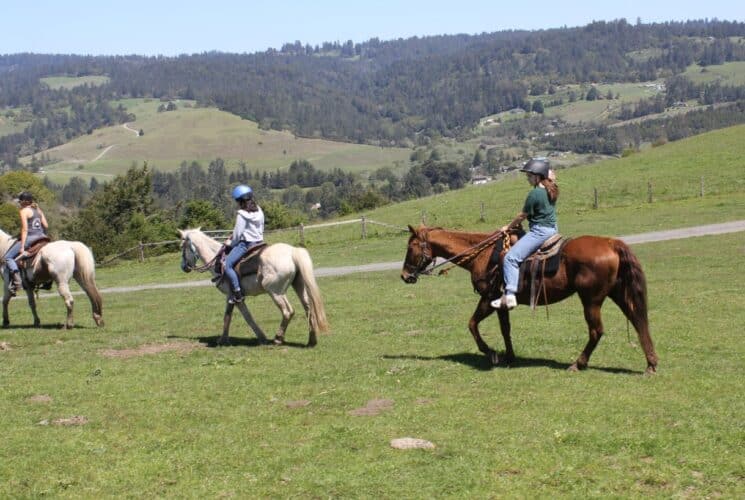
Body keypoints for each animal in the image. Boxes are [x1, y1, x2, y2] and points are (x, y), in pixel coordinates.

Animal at [177, 229, 328, 346]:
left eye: (182, 246)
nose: (184, 267)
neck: (218, 262)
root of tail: (292, 252)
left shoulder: (233, 296)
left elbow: (240, 317)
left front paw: (225, 340)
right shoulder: (233, 297)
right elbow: (236, 316)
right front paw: (226, 339)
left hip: (275, 292)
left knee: (288, 311)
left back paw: (278, 339)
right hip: (298, 286)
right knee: (308, 309)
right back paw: (311, 340)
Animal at [402, 225, 656, 374]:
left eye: (411, 246)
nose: (405, 276)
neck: (483, 255)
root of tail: (611, 243)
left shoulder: (489, 297)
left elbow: (472, 324)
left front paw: (491, 353)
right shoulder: (501, 303)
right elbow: (505, 329)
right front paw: (509, 357)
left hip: (591, 300)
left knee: (597, 330)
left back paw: (578, 364)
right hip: (617, 293)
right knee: (638, 320)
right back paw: (651, 364)